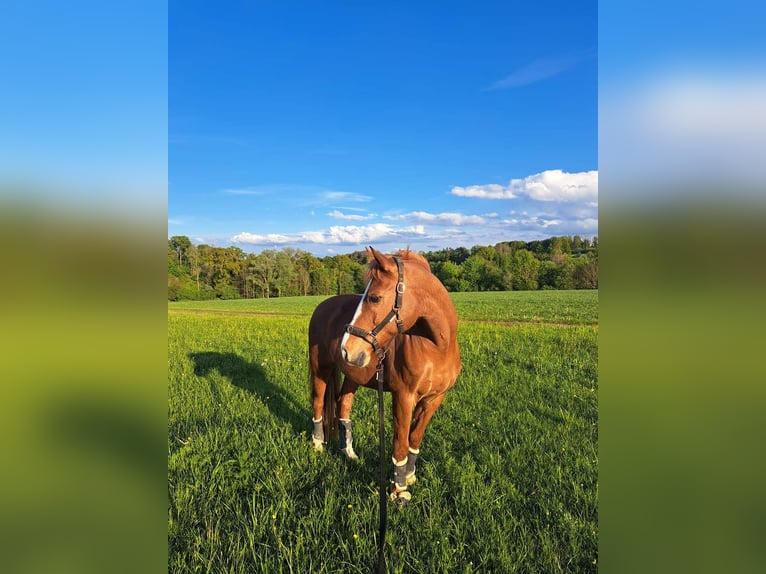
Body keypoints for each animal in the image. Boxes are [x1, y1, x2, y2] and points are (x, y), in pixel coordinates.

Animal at [310, 248, 462, 504]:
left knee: (343, 405)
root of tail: (323, 305)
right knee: (318, 402)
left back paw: (348, 453)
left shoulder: (434, 399)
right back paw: (317, 445)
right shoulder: (403, 397)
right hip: (320, 369)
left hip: (353, 375)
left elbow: (414, 438)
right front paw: (398, 491)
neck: (437, 347)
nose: (346, 348)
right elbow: (399, 443)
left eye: (374, 298)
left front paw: (409, 476)